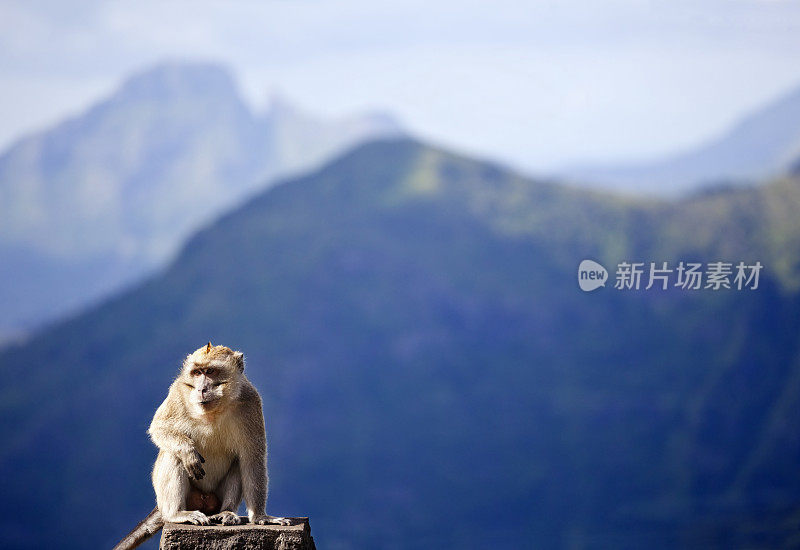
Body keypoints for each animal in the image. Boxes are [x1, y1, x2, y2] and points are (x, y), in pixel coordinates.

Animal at [111, 342, 290, 548]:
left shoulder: (250, 402)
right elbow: (159, 427)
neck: (213, 411)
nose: (201, 389)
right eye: (197, 373)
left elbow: (252, 458)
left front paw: (261, 517)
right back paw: (177, 513)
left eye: (210, 371)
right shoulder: (178, 392)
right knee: (173, 455)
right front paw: (187, 450)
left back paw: (226, 512)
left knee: (239, 462)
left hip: (214, 499)